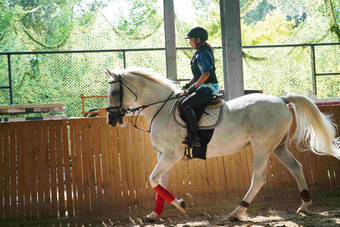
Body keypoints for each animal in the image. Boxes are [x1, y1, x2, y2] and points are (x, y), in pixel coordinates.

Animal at [105, 66, 338, 223]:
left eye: (115, 93)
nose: (111, 120)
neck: (162, 109)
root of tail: (282, 100)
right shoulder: (163, 155)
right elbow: (159, 183)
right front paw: (154, 214)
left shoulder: (171, 155)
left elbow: (153, 179)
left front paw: (180, 204)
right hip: (278, 146)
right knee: (296, 167)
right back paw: (304, 204)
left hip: (262, 147)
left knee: (259, 178)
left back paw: (236, 213)